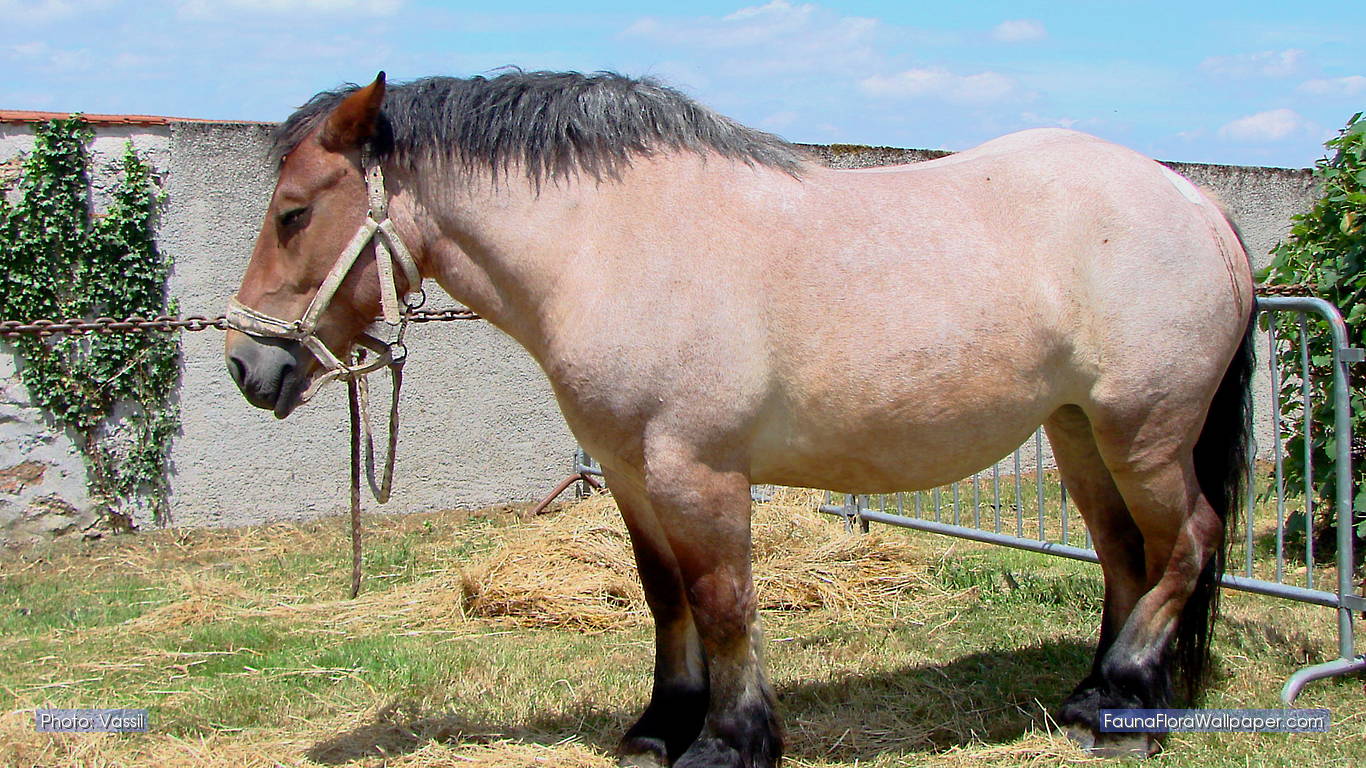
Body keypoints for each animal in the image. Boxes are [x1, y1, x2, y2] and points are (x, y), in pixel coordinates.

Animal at [224, 70, 1254, 766]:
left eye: (293, 213)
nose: (246, 365)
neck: (614, 245)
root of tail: (1195, 200)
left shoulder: (697, 470)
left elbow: (723, 601)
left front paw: (731, 740)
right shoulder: (630, 473)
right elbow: (665, 595)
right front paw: (660, 727)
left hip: (1144, 433)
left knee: (1188, 542)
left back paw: (1123, 708)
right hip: (1078, 432)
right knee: (1127, 554)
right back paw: (1095, 695)